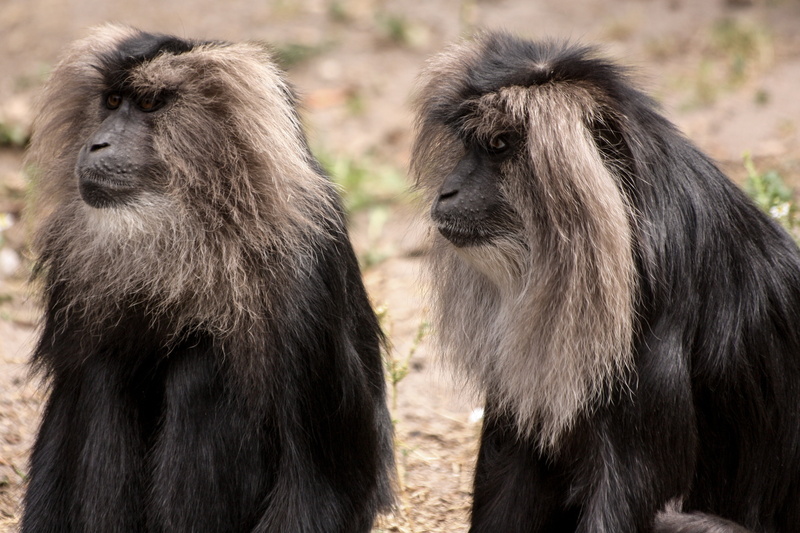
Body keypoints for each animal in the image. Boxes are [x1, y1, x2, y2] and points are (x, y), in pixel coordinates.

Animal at [23, 24, 393, 533]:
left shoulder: (302, 275)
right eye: (112, 101)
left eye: (151, 104)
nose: (97, 144)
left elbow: (322, 486)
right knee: (104, 372)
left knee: (201, 371)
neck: (193, 228)